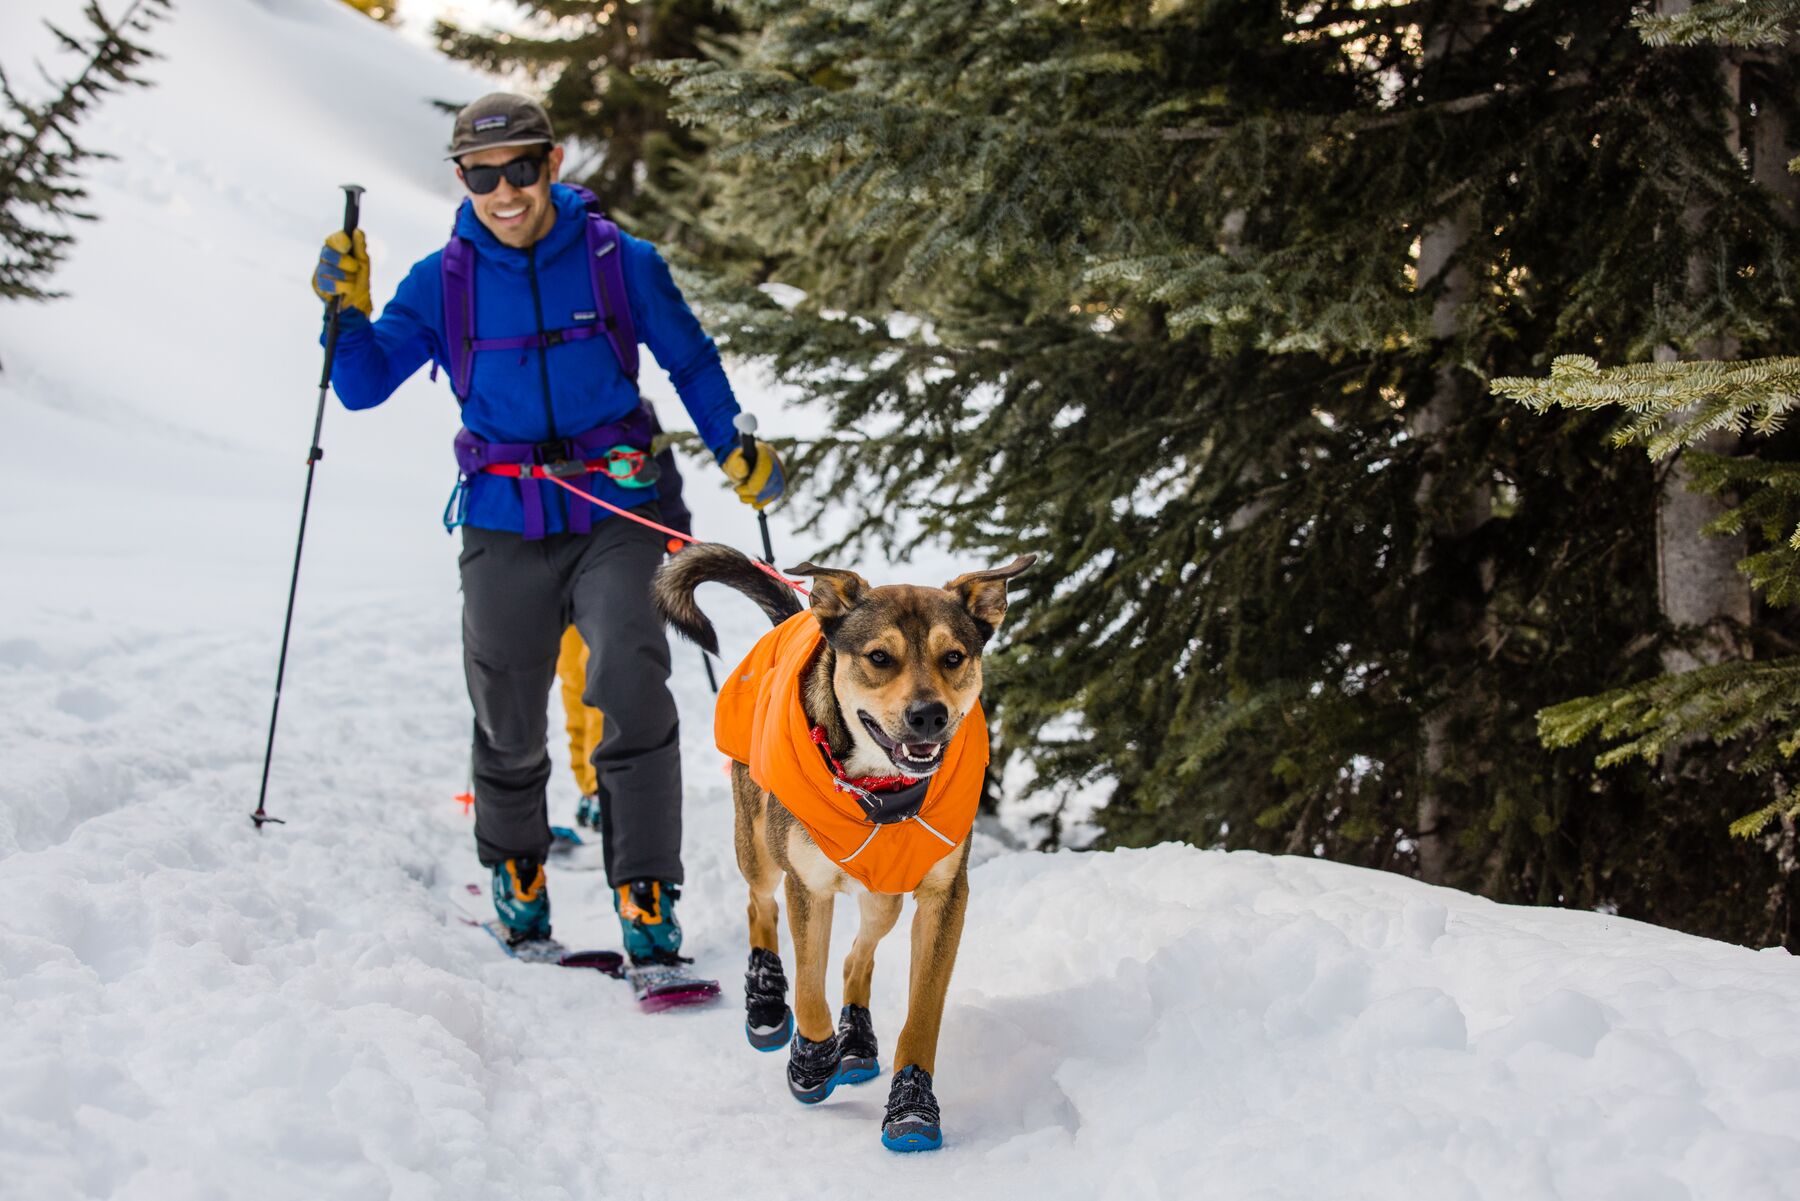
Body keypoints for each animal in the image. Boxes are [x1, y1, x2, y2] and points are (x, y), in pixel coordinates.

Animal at [655, 540, 1036, 1152]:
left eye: (954, 657)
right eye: (879, 657)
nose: (927, 715)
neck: (880, 791)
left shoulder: (945, 895)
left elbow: (922, 1011)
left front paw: (911, 1105)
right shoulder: (807, 884)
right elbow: (810, 984)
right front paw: (811, 1060)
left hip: (884, 896)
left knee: (860, 955)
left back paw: (856, 1040)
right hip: (758, 847)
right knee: (759, 906)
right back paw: (767, 1003)